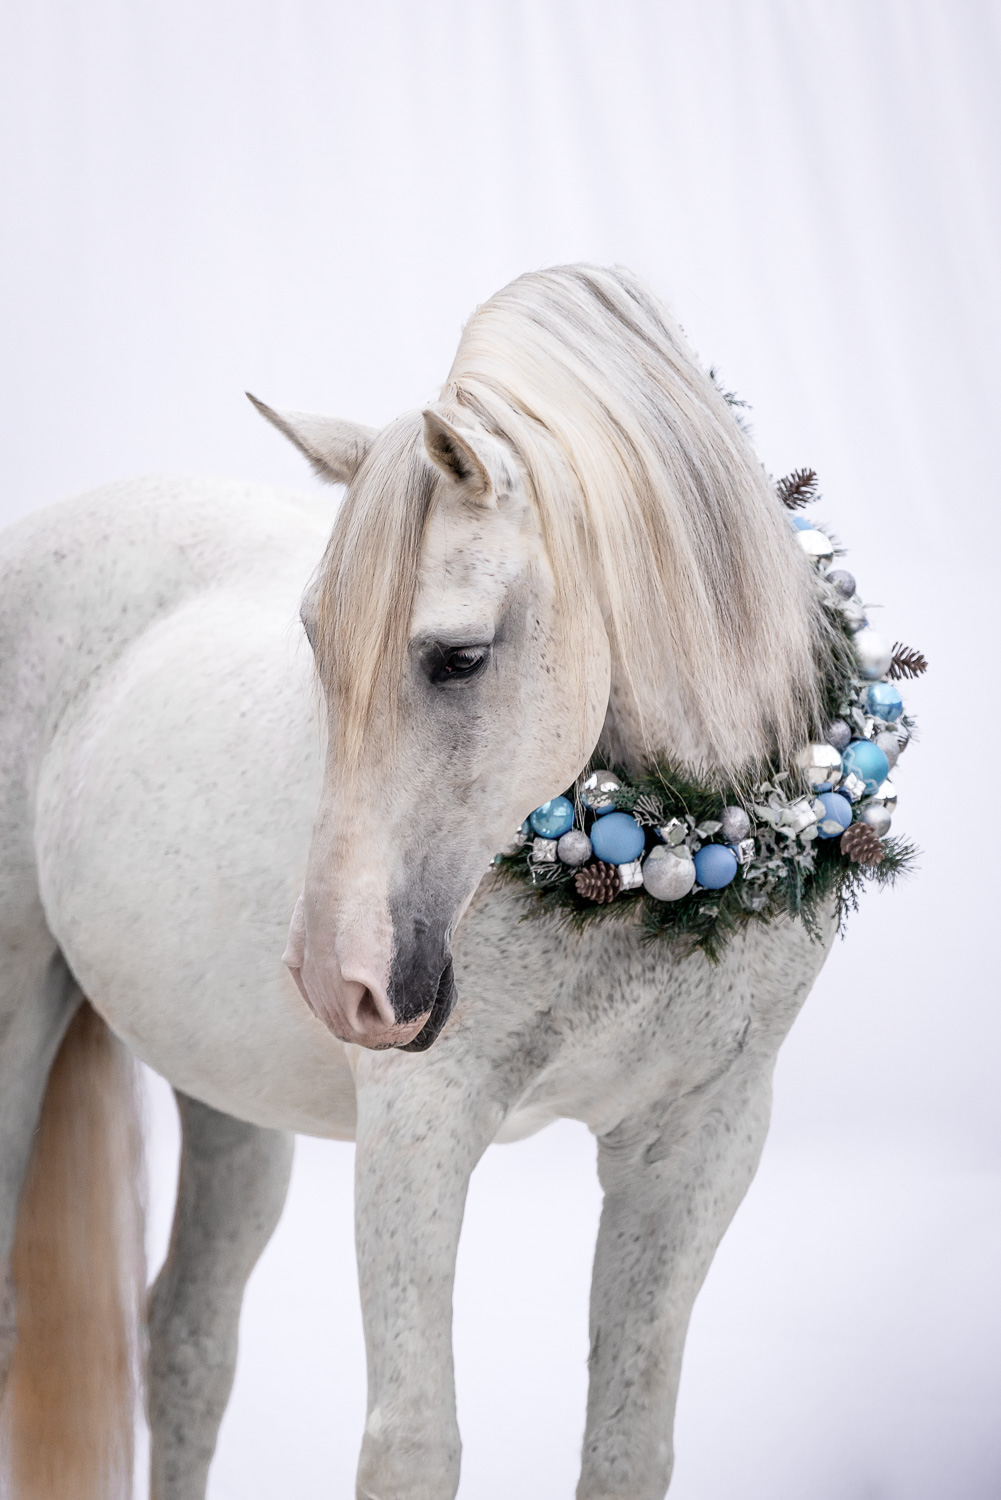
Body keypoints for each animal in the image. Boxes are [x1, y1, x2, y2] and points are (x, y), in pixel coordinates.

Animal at [0, 264, 842, 1500]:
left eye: (458, 657)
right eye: (315, 642)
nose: (332, 977)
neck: (665, 861)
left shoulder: (700, 1136)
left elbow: (628, 1443)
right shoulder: (419, 1122)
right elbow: (413, 1443)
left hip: (225, 1095)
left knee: (188, 1337)